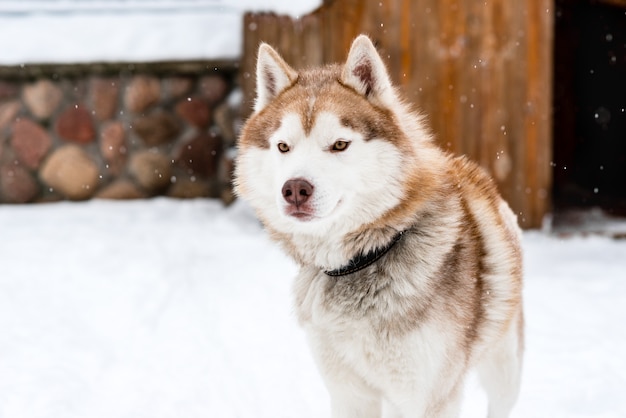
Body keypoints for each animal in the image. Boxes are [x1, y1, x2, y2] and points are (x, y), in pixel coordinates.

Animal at [234, 34, 520, 416]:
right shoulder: (348, 393)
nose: (294, 189)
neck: (366, 258)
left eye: (339, 144)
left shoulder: (429, 397)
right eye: (283, 147)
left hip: (505, 369)